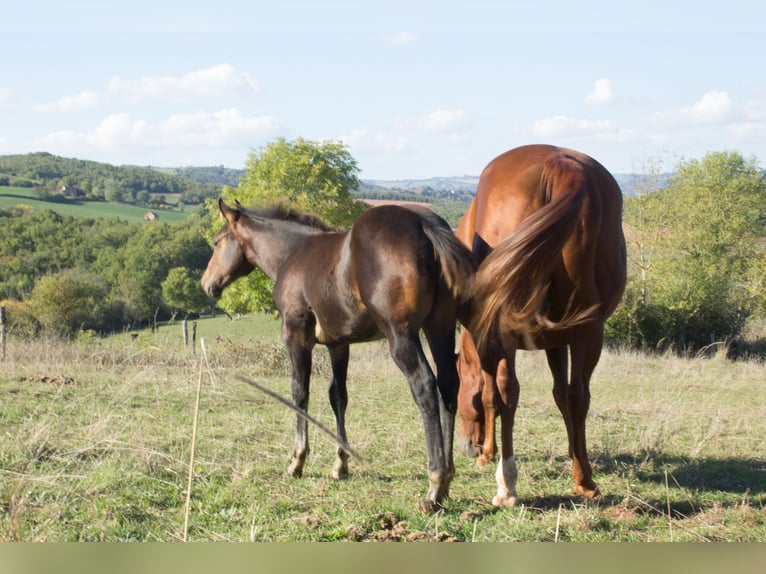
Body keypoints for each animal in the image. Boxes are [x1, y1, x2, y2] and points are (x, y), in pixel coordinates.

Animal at [201, 199, 476, 511]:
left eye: (216, 242)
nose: (206, 284)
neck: (291, 254)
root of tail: (423, 224)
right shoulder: (339, 344)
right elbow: (338, 396)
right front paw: (340, 464)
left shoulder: (295, 334)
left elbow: (300, 393)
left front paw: (297, 461)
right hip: (439, 326)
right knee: (448, 385)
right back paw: (448, 478)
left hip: (401, 334)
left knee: (425, 386)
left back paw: (434, 486)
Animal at [455, 144, 626, 508]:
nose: (467, 446)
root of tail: (559, 166)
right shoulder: (555, 340)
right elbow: (561, 395)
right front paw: (575, 453)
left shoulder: (487, 339)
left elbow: (490, 396)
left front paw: (488, 453)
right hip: (588, 331)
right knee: (578, 396)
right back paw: (584, 479)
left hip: (509, 333)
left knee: (508, 393)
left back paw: (507, 485)